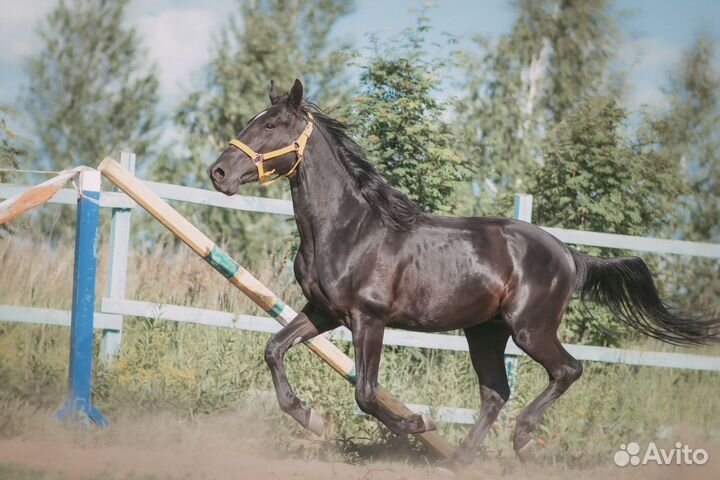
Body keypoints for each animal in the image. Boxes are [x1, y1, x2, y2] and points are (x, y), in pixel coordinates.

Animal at [207, 79, 719, 470]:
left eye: (271, 124)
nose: (218, 172)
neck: (347, 229)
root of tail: (567, 254)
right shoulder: (323, 311)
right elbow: (274, 350)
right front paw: (312, 418)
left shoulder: (368, 318)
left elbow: (367, 393)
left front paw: (418, 423)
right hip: (485, 332)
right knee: (495, 393)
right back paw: (458, 459)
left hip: (530, 329)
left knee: (566, 370)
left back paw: (523, 441)